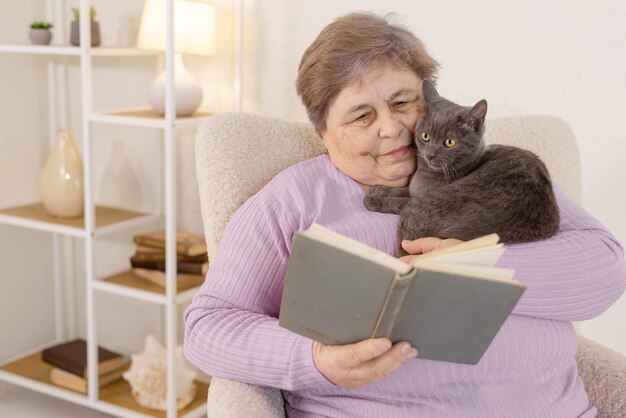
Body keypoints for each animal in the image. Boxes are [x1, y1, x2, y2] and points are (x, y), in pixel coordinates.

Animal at [364, 79, 560, 255]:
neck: (425, 174)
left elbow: (402, 199)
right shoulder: (414, 188)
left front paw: (374, 198)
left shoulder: (420, 196)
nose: (430, 155)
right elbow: (405, 188)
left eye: (449, 142)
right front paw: (379, 189)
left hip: (423, 207)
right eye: (425, 136)